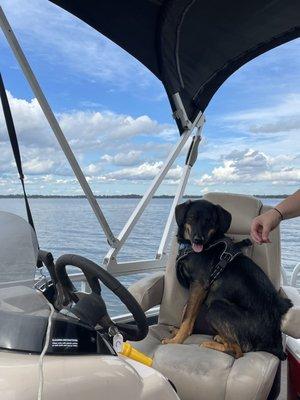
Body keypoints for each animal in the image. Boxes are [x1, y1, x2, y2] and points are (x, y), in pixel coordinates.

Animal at [163, 200, 292, 360]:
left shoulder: (199, 285)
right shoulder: (197, 289)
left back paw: (211, 343)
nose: (198, 240)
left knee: (238, 350)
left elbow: (187, 317)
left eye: (210, 221)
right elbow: (187, 311)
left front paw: (177, 340)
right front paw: (177, 332)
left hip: (215, 306)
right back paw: (219, 337)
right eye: (191, 218)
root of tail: (275, 345)